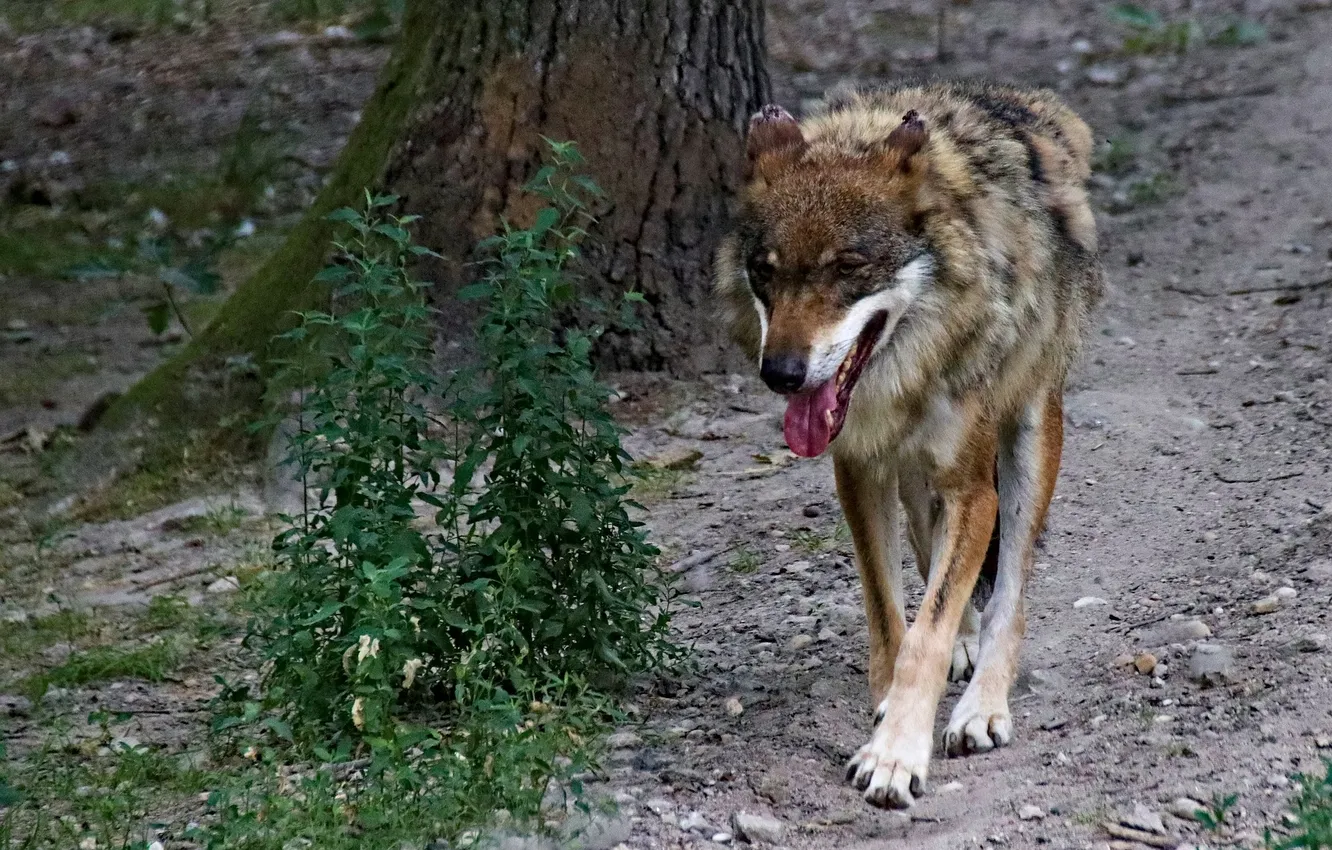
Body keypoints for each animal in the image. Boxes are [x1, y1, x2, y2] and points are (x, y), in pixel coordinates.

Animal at [714, 81, 1103, 809]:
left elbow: (929, 632)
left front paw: (895, 754)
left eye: (848, 267)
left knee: (1011, 593)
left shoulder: (974, 492)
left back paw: (983, 705)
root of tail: (1023, 103)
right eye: (764, 272)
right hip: (915, 475)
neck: (903, 373)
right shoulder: (858, 471)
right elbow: (894, 619)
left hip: (1030, 432)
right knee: (932, 557)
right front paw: (891, 709)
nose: (781, 374)